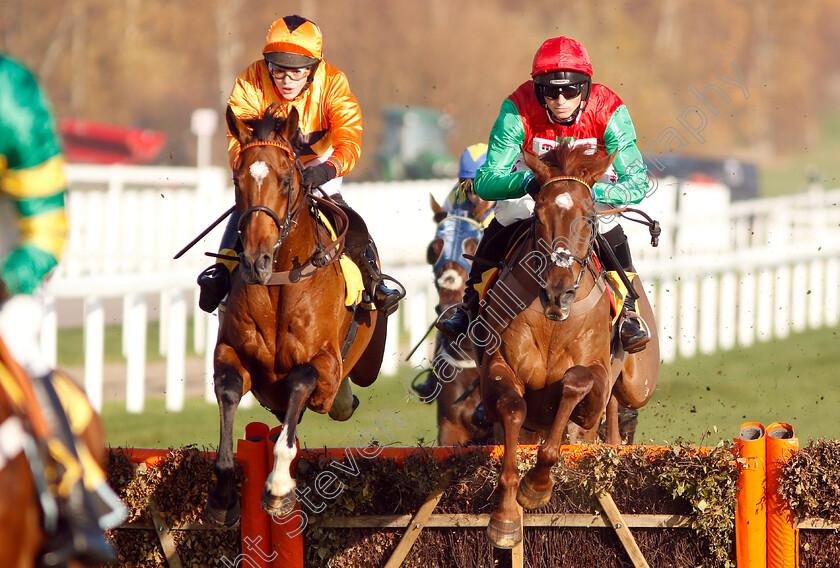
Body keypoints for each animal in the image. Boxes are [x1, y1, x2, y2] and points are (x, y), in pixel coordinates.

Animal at [205, 105, 388, 524]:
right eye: (237, 180)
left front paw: (278, 486)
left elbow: (302, 379)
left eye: (287, 180)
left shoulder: (326, 364)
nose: (256, 260)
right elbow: (227, 389)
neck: (277, 285)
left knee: (343, 395)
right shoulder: (232, 353)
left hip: (368, 364)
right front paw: (222, 494)